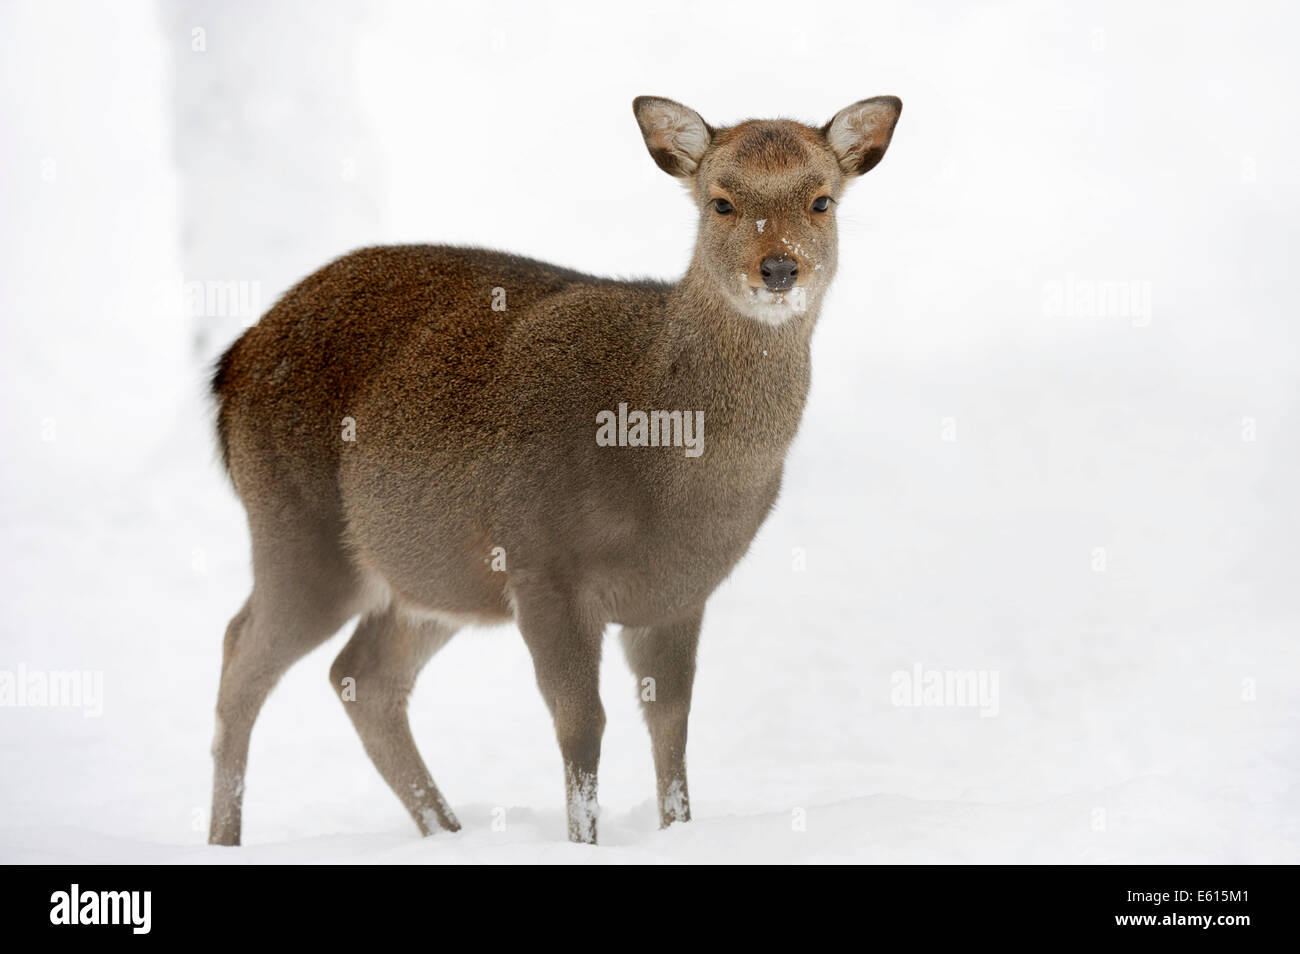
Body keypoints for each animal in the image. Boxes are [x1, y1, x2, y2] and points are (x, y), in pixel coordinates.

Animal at [210, 93, 904, 847]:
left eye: (821, 200)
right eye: (720, 201)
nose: (778, 268)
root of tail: (233, 364)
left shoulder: (680, 592)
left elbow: (673, 726)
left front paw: (678, 832)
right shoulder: (544, 564)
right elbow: (582, 726)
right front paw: (584, 843)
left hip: (429, 570)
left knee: (361, 676)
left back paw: (449, 831)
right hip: (296, 527)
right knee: (242, 654)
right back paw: (226, 838)